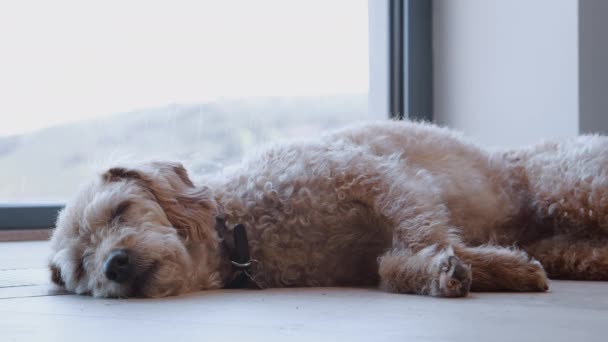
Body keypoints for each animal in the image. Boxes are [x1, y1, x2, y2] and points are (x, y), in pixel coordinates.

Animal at [48, 121, 608, 296]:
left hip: (573, 185)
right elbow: (391, 264)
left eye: (120, 211)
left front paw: (471, 266)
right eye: (80, 268)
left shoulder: (379, 176)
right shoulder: (369, 242)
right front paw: (456, 271)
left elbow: (425, 233)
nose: (114, 264)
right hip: (564, 242)